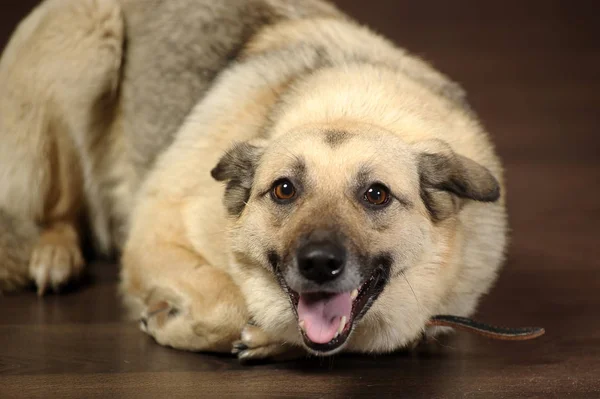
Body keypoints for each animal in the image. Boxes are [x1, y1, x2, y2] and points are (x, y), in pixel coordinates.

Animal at [0, 0, 506, 360]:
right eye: (284, 189)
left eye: (376, 195)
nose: (318, 264)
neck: (350, 110)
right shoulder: (154, 237)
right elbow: (231, 303)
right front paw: (174, 324)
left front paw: (265, 340)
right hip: (85, 50)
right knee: (57, 206)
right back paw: (56, 253)